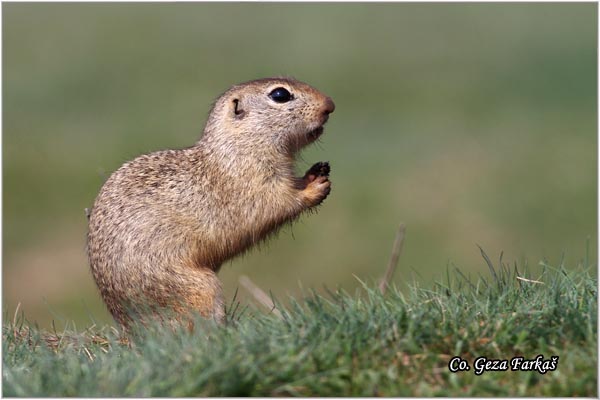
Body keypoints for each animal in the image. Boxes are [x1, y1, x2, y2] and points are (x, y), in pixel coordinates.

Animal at [86, 76, 336, 326]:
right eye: (280, 95)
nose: (330, 105)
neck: (237, 146)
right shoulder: (252, 184)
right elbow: (276, 203)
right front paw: (314, 189)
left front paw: (315, 174)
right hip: (198, 288)